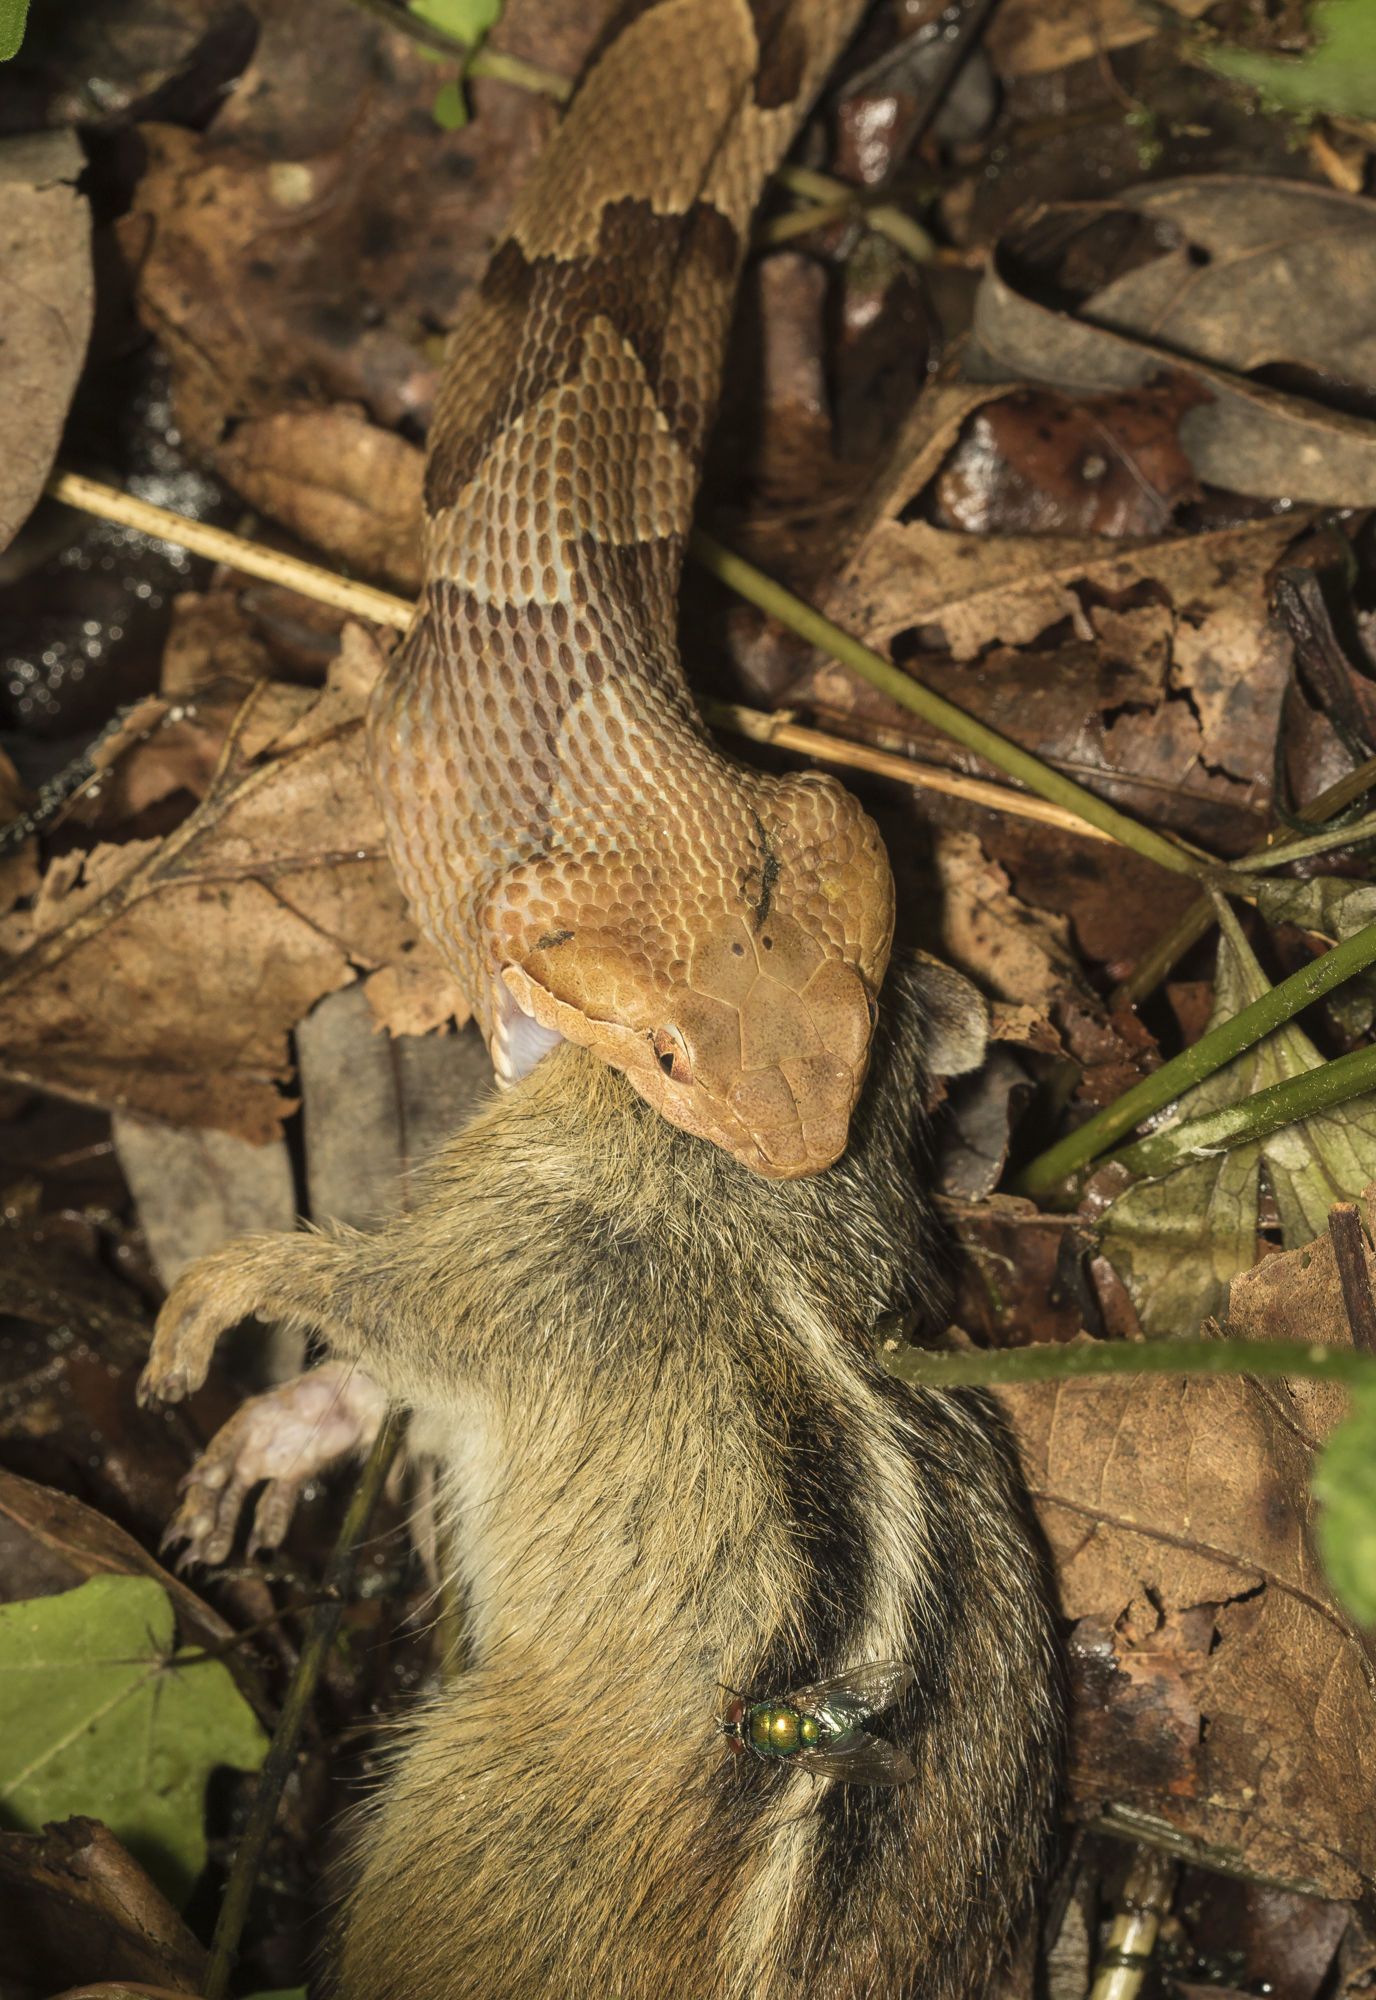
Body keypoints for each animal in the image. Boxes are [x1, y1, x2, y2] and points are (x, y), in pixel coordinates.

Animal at [139, 955, 1062, 1998]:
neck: (763, 1205)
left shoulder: (500, 1267)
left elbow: (370, 1310)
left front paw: (215, 1292)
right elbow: (378, 1387)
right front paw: (266, 1442)